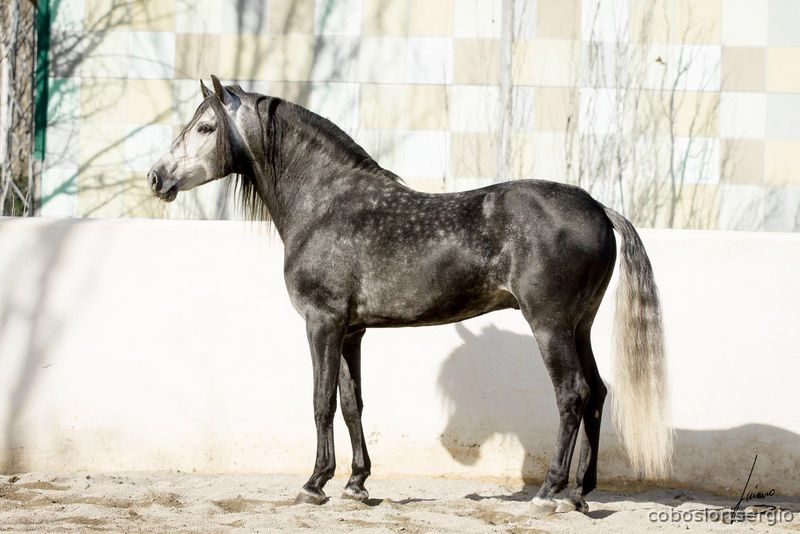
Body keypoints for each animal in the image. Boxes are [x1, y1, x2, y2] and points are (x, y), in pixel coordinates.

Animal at [148, 75, 672, 513]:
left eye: (205, 127)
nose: (157, 177)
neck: (325, 205)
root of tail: (597, 206)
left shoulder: (322, 323)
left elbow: (320, 402)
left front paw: (314, 484)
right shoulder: (351, 331)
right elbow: (351, 403)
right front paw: (356, 484)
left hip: (551, 327)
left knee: (572, 395)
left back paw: (548, 492)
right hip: (579, 326)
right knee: (598, 393)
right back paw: (580, 494)